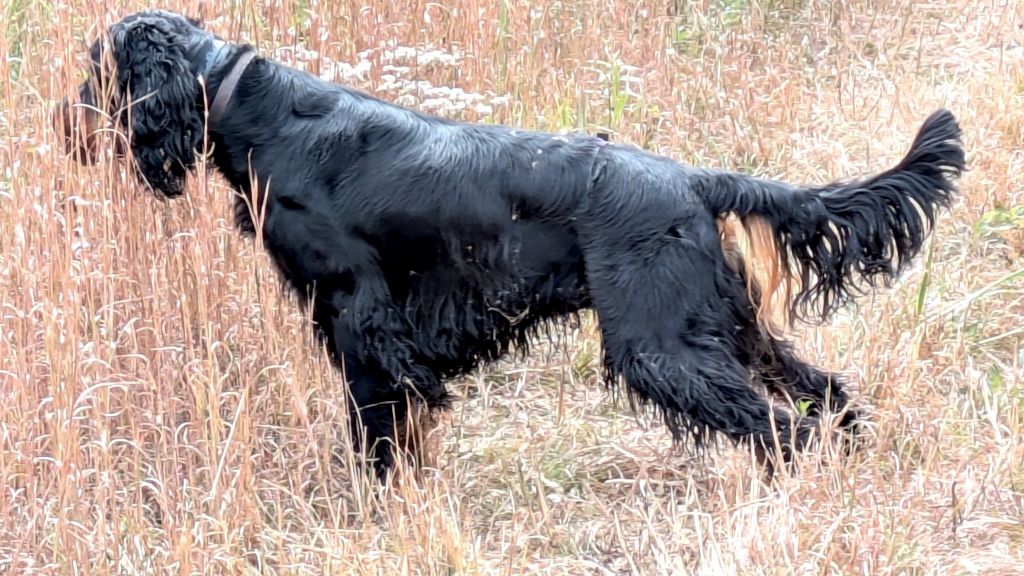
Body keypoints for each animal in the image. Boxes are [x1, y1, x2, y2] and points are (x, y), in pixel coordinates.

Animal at [58, 11, 966, 477]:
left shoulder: (359, 319)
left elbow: (373, 426)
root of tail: (693, 179)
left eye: (96, 68)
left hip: (659, 342)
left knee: (782, 427)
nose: (62, 125)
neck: (258, 110)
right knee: (822, 394)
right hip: (722, 324)